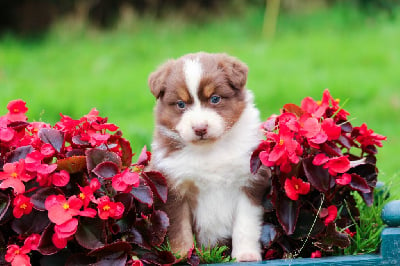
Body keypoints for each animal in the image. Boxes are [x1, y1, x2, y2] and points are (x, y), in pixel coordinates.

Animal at [148, 52, 264, 262]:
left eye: (215, 99)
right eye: (180, 104)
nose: (200, 128)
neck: (209, 150)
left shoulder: (249, 181)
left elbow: (245, 225)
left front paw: (246, 255)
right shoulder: (174, 189)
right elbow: (180, 229)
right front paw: (182, 256)